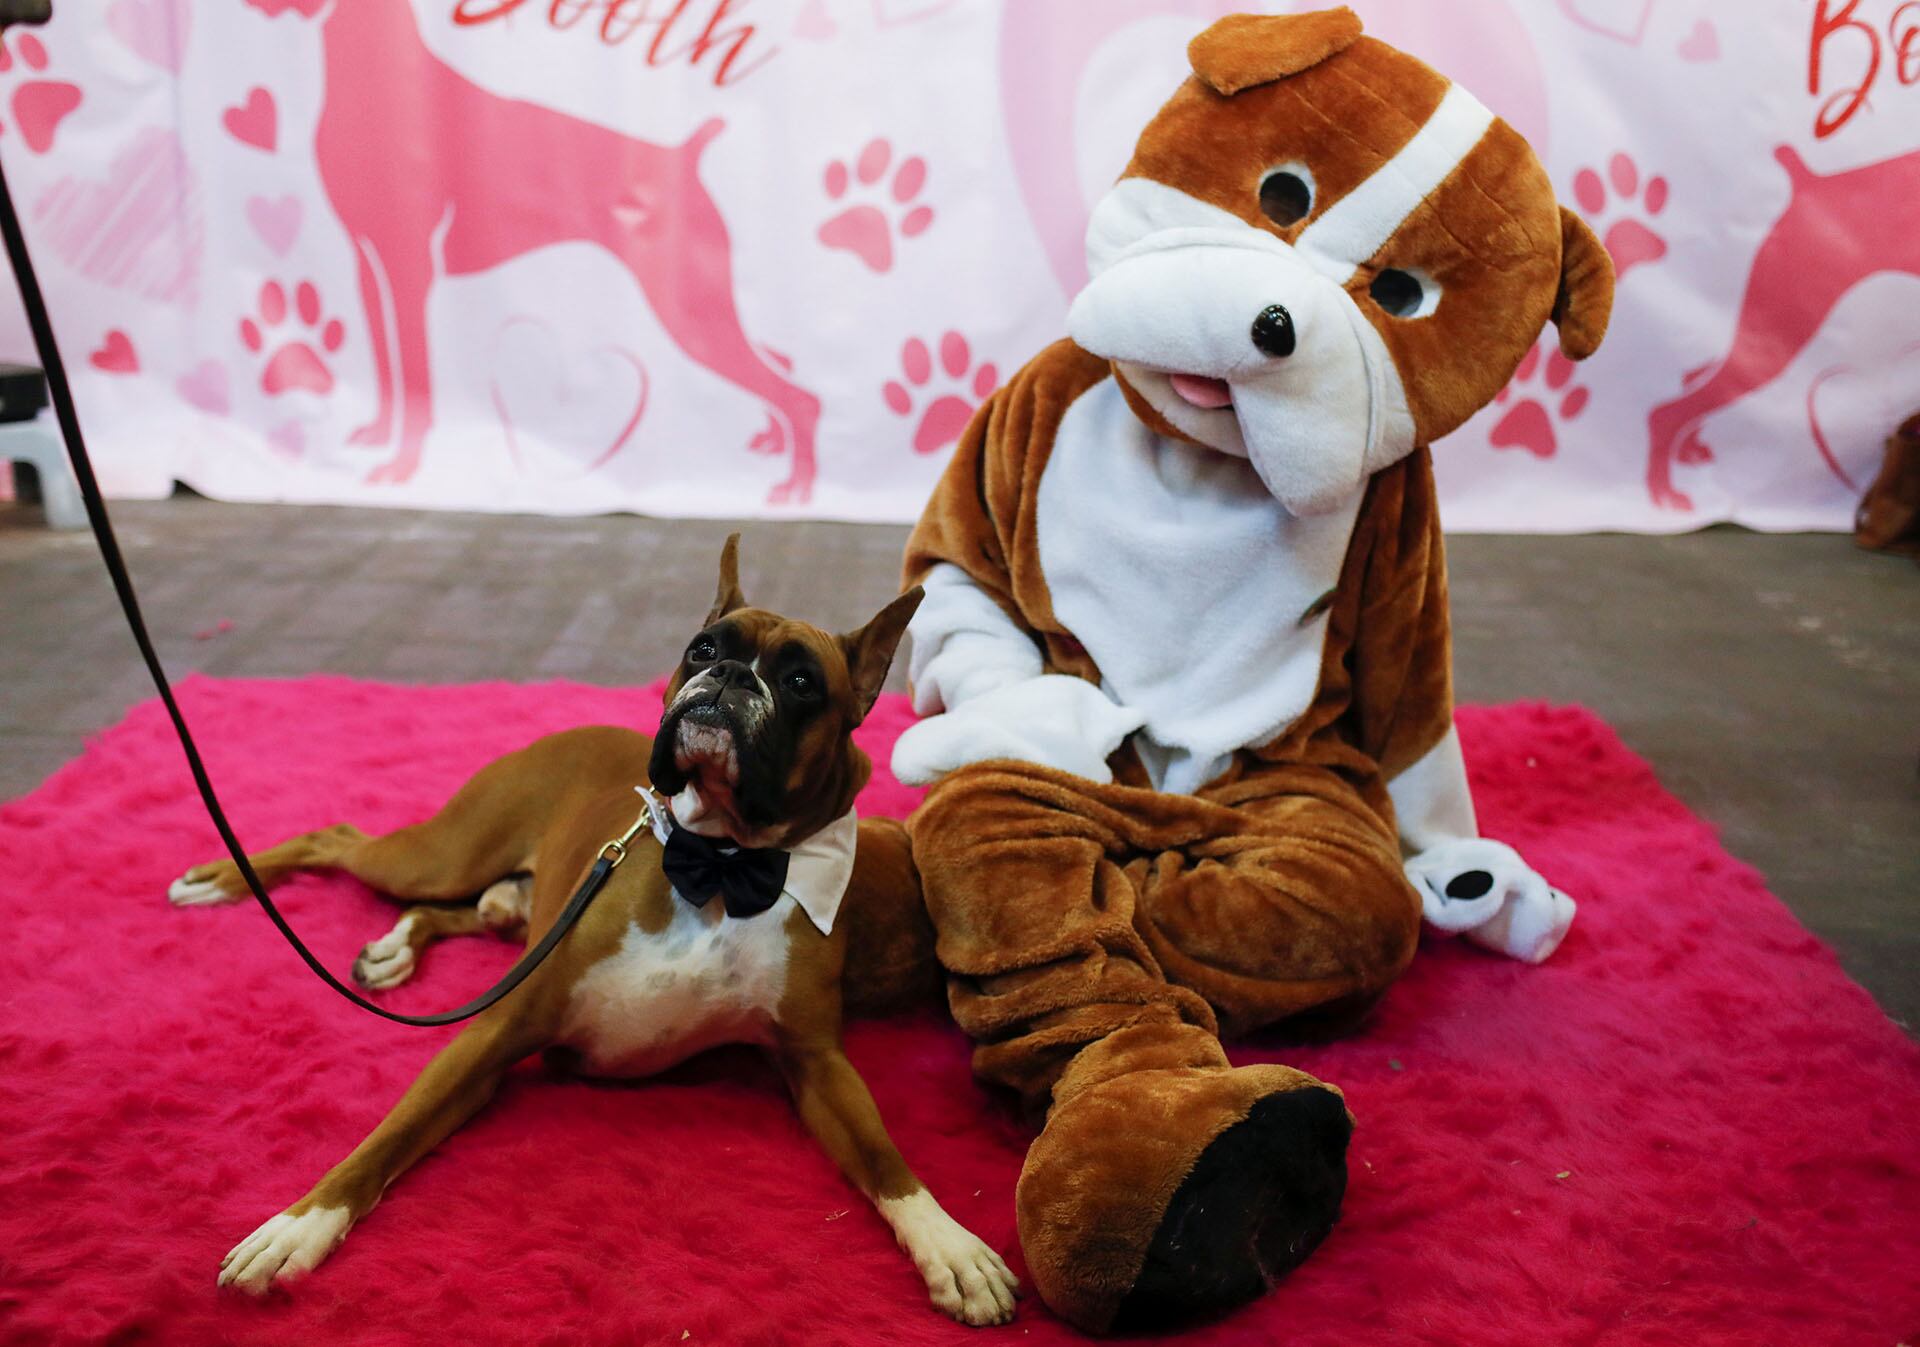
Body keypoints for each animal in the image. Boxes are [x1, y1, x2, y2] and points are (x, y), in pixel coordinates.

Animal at [168, 537, 1021, 1327]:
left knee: (465, 908)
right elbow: (386, 1138)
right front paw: (296, 1227)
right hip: (441, 856)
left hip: (496, 900)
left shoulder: (817, 1063)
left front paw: (952, 1247)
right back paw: (221, 880)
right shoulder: (496, 1033)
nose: (728, 678)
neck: (719, 862)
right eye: (703, 647)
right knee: (338, 838)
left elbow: (886, 1158)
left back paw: (393, 945)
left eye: (802, 680)